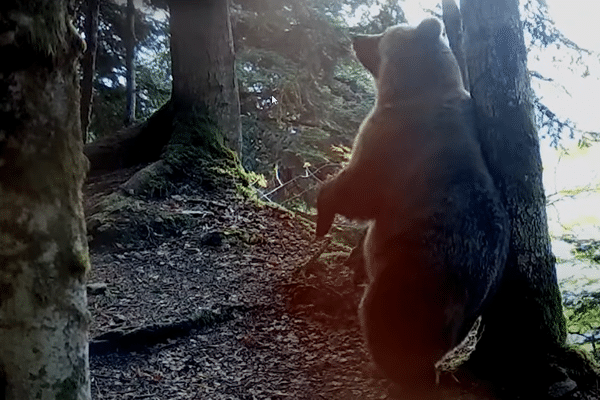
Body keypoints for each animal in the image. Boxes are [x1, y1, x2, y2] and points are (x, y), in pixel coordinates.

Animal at [316, 18, 508, 396]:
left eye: (385, 34)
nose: (356, 37)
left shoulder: (394, 142)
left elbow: (359, 189)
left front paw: (322, 213)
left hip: (408, 279)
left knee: (381, 319)